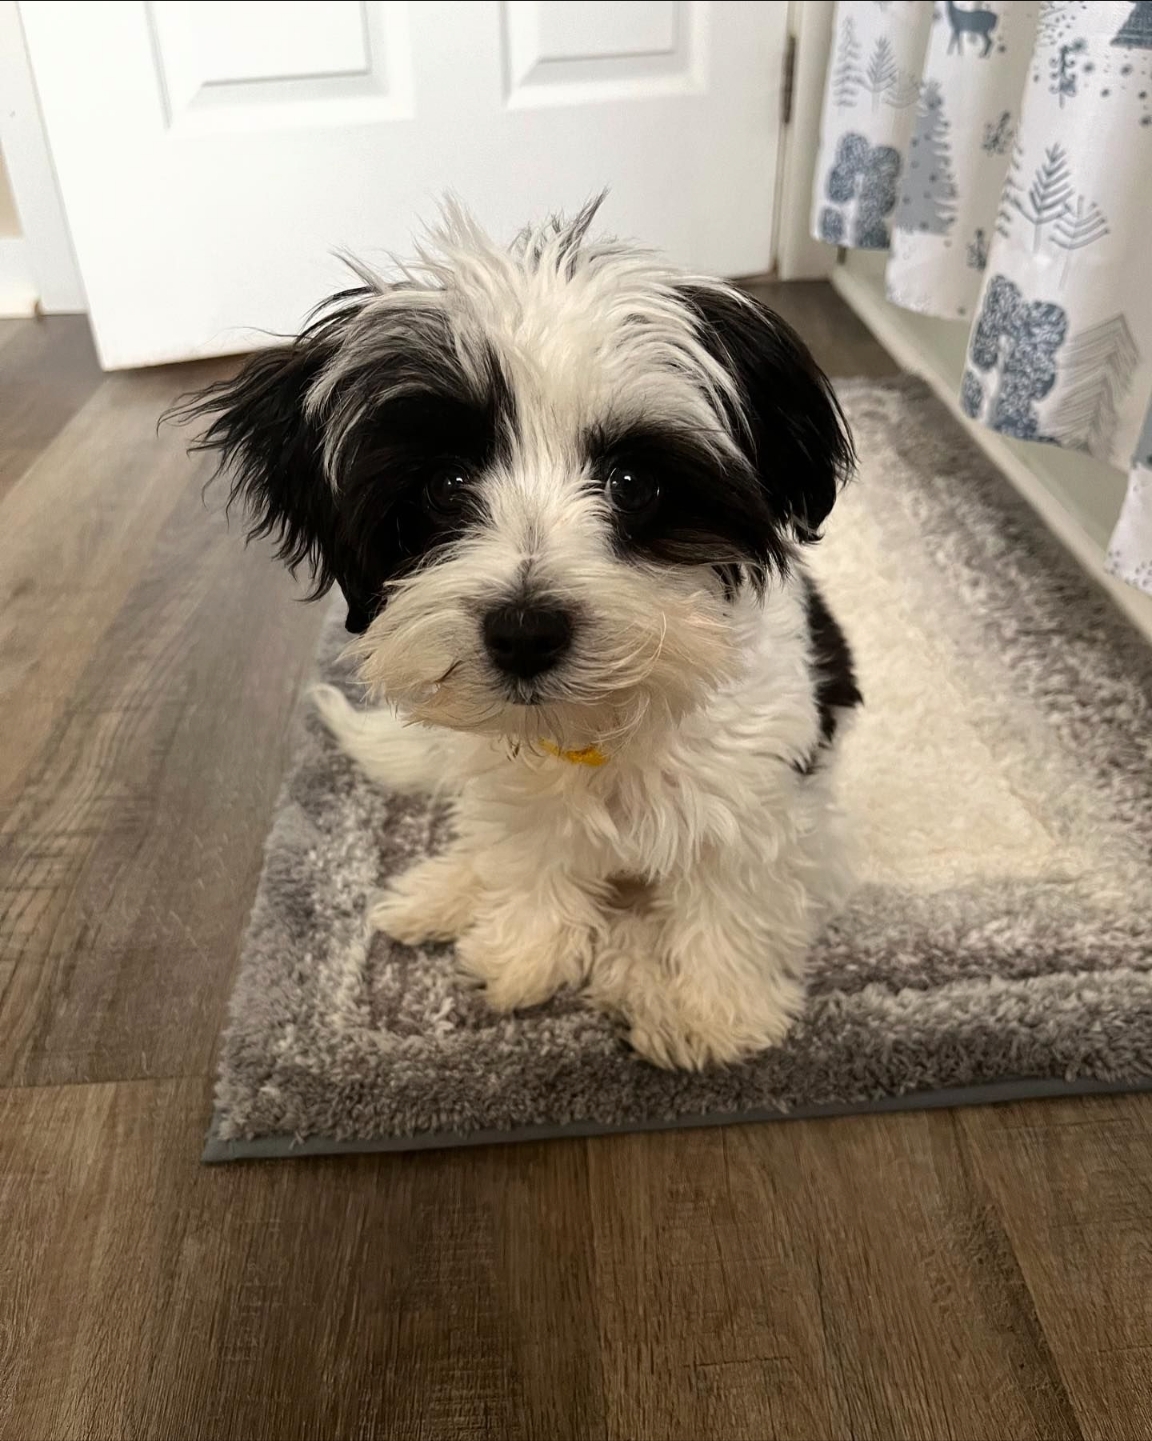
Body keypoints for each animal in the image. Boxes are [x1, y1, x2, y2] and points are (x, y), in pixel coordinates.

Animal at [175, 201, 860, 1069]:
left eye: (634, 483)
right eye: (445, 484)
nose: (525, 630)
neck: (595, 727)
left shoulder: (753, 786)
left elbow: (730, 895)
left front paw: (712, 1008)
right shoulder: (520, 792)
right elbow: (532, 859)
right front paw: (527, 954)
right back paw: (441, 892)